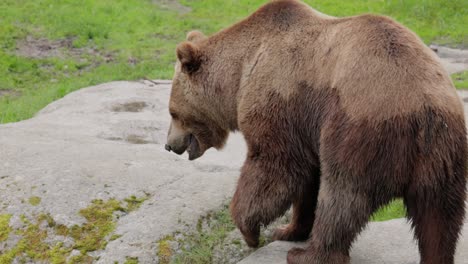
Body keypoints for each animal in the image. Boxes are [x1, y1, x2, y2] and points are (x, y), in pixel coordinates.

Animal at [164, 1, 464, 262]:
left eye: (172, 112)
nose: (169, 145)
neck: (239, 75)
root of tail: (424, 111)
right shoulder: (306, 128)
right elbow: (306, 180)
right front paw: (287, 229)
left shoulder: (281, 99)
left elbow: (274, 168)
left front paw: (251, 230)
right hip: (444, 158)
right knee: (440, 218)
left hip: (359, 129)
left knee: (342, 197)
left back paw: (309, 254)